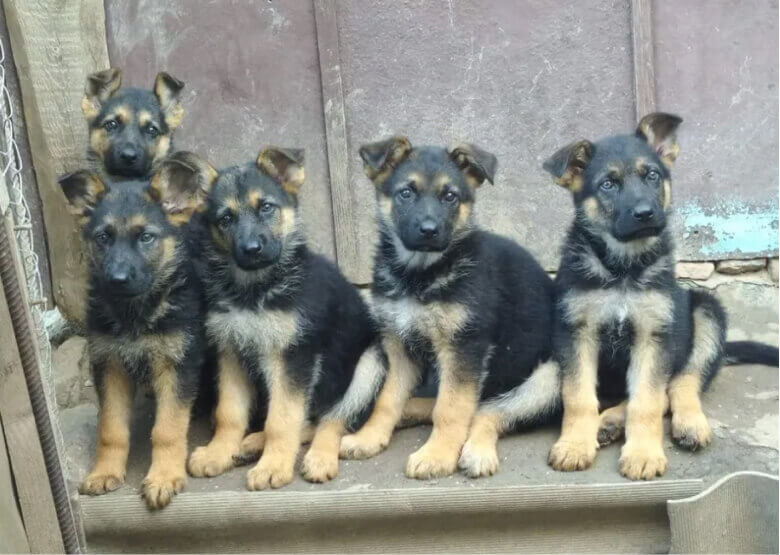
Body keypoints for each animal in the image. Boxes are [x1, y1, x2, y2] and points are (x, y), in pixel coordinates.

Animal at [185, 147, 386, 486]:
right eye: (226, 219)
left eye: (266, 207)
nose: (251, 249)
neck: (255, 291)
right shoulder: (230, 351)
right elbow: (229, 412)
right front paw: (218, 452)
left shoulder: (294, 356)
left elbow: (282, 418)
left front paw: (273, 465)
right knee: (311, 420)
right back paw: (253, 443)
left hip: (370, 363)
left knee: (332, 419)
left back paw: (318, 458)